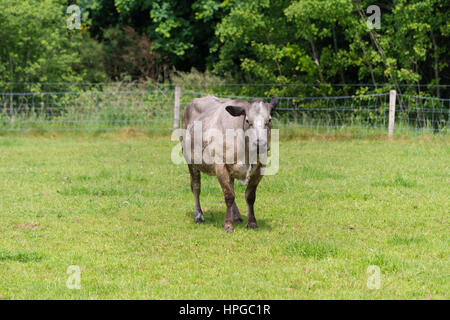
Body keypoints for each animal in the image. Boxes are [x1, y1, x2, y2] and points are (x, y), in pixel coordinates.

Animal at [179, 95, 278, 232]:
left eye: (269, 119)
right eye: (247, 120)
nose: (260, 145)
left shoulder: (260, 168)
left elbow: (250, 196)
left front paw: (252, 223)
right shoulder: (220, 165)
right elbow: (229, 195)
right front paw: (228, 225)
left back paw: (236, 216)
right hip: (191, 161)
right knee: (196, 187)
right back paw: (199, 216)